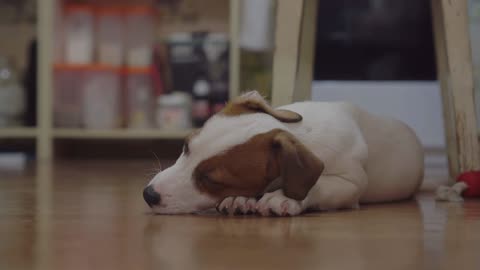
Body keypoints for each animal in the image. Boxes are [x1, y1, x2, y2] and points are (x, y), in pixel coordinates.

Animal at [143, 90, 424, 215]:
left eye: (212, 180)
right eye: (186, 146)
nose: (148, 194)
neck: (300, 133)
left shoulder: (350, 184)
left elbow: (318, 185)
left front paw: (281, 198)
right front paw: (239, 199)